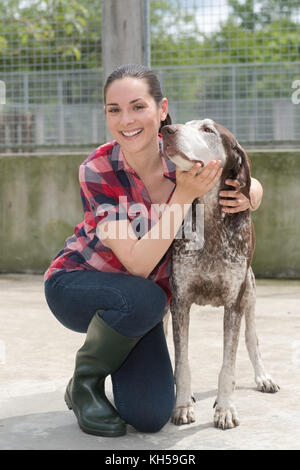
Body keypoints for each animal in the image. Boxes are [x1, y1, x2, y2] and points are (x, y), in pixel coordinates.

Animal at [161, 120, 280, 430]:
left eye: (207, 130)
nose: (166, 130)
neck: (210, 221)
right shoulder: (179, 302)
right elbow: (182, 362)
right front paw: (182, 405)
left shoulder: (234, 304)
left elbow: (228, 365)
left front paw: (225, 408)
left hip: (250, 291)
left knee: (252, 339)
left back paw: (263, 377)